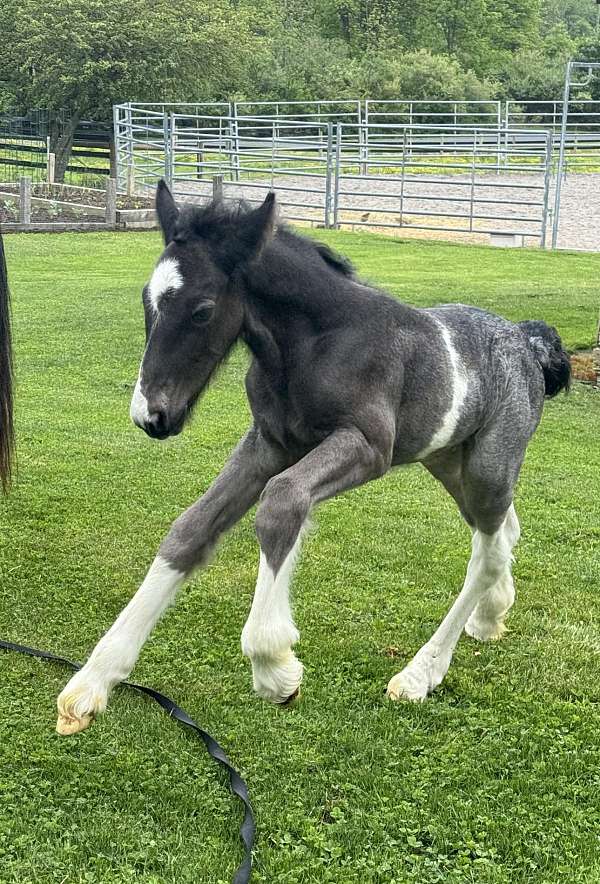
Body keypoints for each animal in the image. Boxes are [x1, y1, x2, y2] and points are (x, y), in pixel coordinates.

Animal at [55, 183, 568, 736]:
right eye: (147, 299)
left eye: (202, 310)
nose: (151, 416)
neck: (316, 344)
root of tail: (527, 341)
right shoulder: (267, 445)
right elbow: (190, 529)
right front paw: (92, 683)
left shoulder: (367, 447)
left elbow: (282, 502)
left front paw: (274, 666)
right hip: (450, 461)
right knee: (503, 531)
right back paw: (490, 617)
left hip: (488, 466)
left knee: (488, 554)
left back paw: (419, 674)